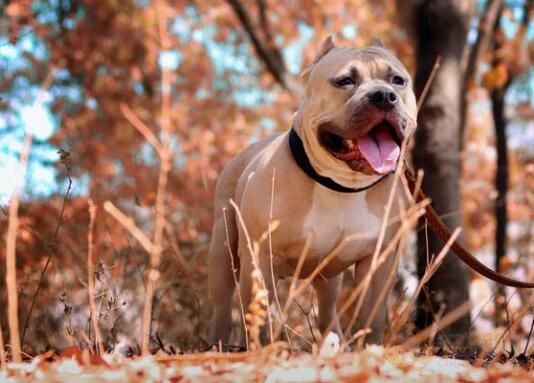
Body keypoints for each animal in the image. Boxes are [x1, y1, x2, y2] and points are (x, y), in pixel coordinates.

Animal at [208, 37, 418, 346]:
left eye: (397, 80)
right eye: (345, 81)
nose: (383, 96)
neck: (340, 185)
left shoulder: (379, 262)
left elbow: (372, 315)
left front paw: (370, 348)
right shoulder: (259, 257)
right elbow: (258, 316)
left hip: (328, 279)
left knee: (327, 311)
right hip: (224, 253)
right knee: (221, 305)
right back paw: (216, 344)